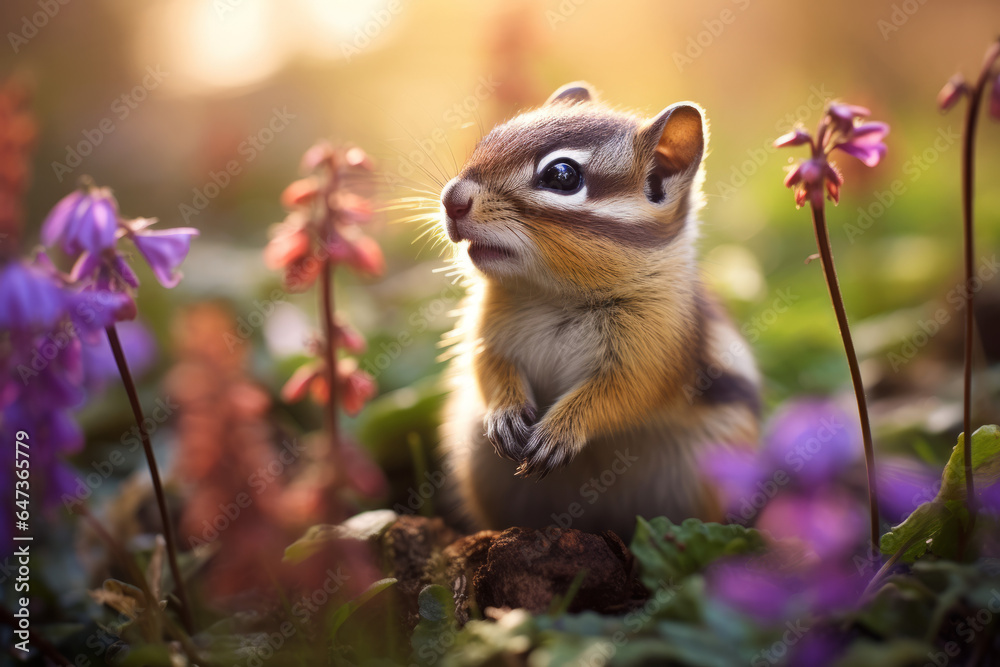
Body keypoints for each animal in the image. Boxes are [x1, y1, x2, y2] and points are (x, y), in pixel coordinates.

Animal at [437, 82, 761, 539]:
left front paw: (559, 432)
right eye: (488, 139)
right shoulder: (485, 333)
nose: (452, 199)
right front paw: (505, 414)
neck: (558, 296)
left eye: (562, 175)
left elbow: (623, 393)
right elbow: (489, 366)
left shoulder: (654, 349)